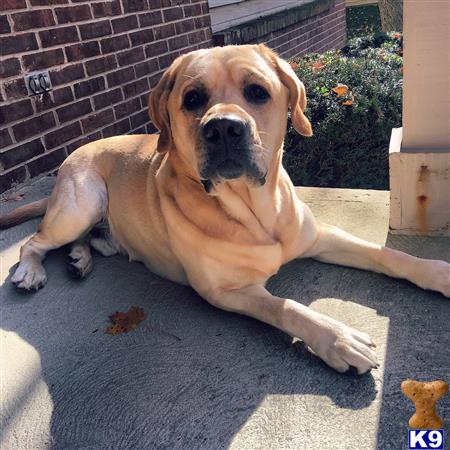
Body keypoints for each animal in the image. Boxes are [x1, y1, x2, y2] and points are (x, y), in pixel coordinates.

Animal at [2, 46, 446, 376]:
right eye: (193, 99)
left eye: (258, 92)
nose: (223, 128)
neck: (256, 211)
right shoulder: (227, 291)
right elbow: (287, 307)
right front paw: (338, 338)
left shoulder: (320, 236)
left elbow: (386, 254)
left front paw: (437, 272)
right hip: (82, 201)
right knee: (35, 241)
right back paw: (30, 270)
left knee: (85, 239)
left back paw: (80, 258)